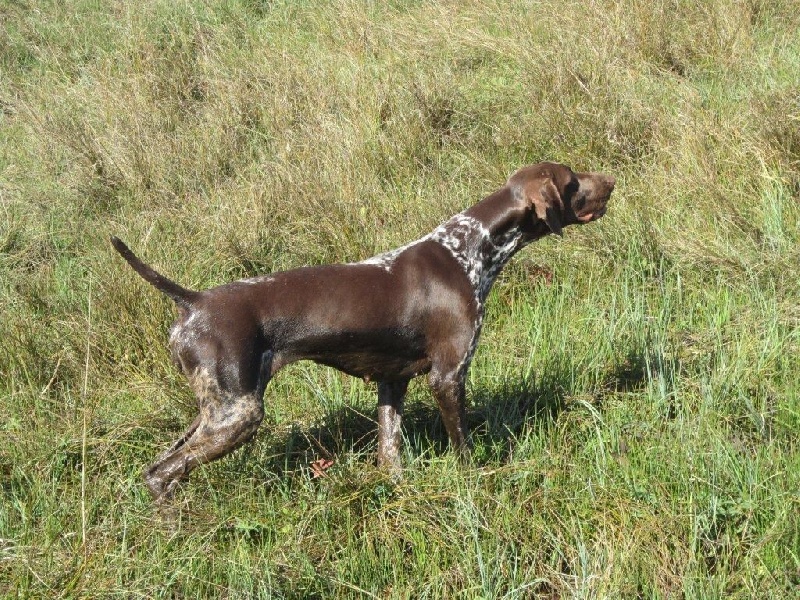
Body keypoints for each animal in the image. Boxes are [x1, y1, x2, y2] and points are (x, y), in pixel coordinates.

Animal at [111, 162, 612, 500]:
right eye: (573, 180)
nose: (611, 182)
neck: (469, 249)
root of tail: (193, 301)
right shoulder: (448, 376)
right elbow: (463, 446)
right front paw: (474, 483)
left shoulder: (393, 382)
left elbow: (390, 454)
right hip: (239, 414)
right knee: (162, 472)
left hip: (217, 409)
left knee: (160, 465)